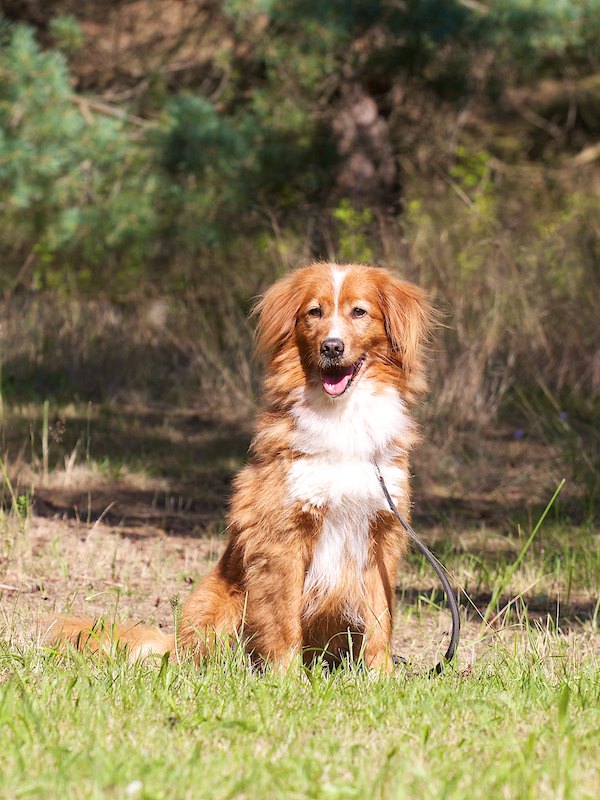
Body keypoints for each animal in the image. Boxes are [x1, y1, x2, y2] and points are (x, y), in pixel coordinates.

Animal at [49, 262, 433, 671]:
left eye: (359, 312)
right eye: (314, 312)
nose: (332, 346)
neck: (343, 417)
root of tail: (174, 645)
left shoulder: (381, 533)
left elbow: (380, 619)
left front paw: (380, 675)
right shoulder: (282, 536)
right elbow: (283, 620)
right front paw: (287, 676)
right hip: (219, 604)